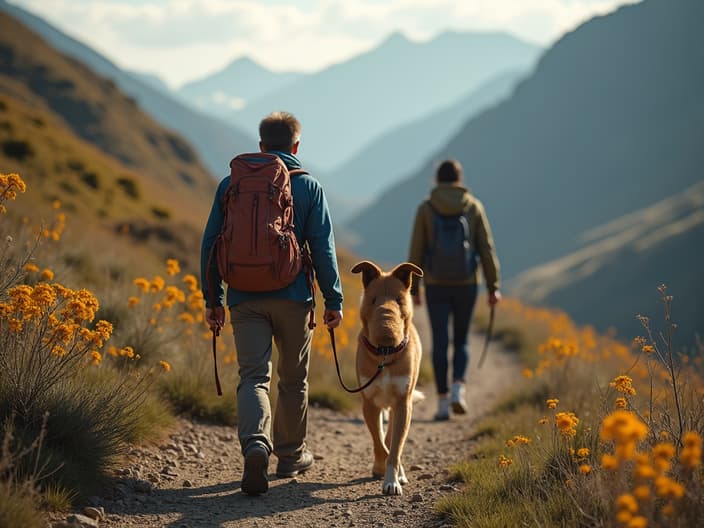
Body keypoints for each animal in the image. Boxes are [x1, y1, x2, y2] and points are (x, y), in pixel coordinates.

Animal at [352, 260, 424, 496]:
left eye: (399, 300)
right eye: (374, 300)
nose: (387, 332)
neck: (384, 354)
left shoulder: (403, 404)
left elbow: (395, 448)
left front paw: (393, 479)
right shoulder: (369, 404)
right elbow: (382, 445)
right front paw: (383, 470)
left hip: (398, 405)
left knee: (392, 434)